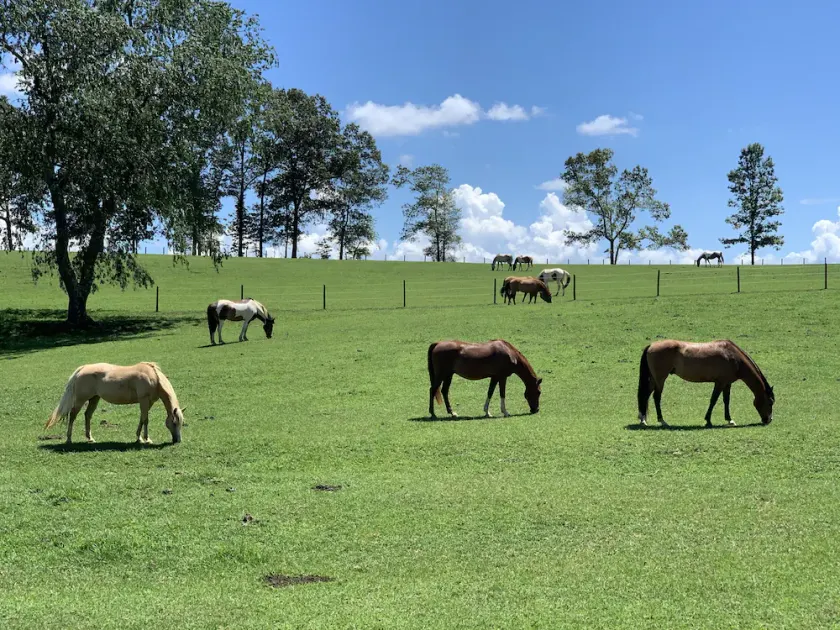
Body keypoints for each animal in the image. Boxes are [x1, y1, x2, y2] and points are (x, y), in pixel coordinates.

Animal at [45, 362, 185, 444]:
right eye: (174, 422)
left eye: (181, 423)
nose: (177, 441)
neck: (154, 377)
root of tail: (82, 369)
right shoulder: (144, 400)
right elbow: (146, 420)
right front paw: (147, 439)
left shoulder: (148, 402)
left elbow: (142, 419)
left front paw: (139, 438)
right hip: (81, 399)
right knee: (73, 415)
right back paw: (69, 439)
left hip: (94, 398)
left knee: (87, 415)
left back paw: (90, 438)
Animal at [637, 339, 774, 428]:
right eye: (770, 402)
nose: (768, 420)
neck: (733, 356)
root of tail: (651, 345)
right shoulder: (720, 383)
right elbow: (713, 400)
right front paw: (708, 420)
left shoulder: (727, 383)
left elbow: (726, 400)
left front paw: (729, 420)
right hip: (660, 379)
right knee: (656, 397)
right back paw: (662, 421)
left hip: (654, 379)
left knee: (645, 395)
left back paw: (643, 419)